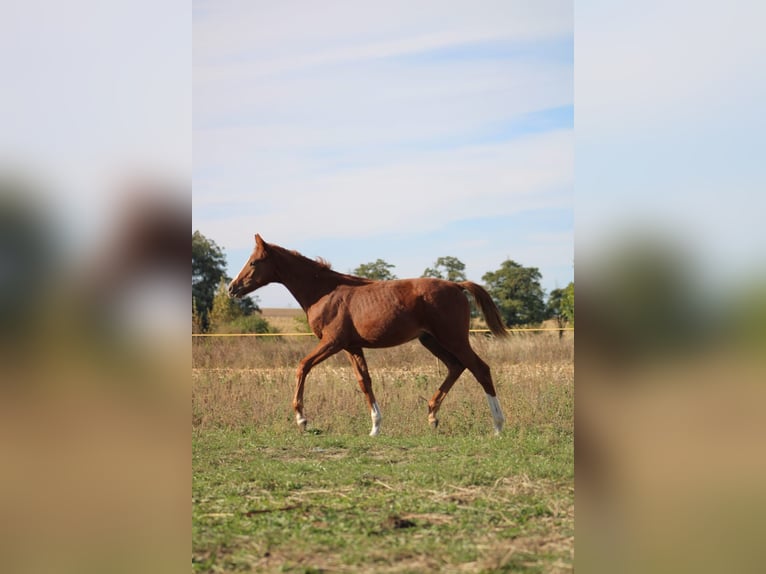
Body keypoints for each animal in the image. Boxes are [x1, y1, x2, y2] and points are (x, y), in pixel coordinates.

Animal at [231, 234, 512, 436]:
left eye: (254, 262)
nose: (232, 288)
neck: (324, 292)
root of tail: (457, 285)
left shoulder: (332, 342)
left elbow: (303, 366)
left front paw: (302, 419)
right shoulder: (352, 347)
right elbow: (364, 381)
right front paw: (375, 427)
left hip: (453, 338)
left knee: (480, 368)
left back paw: (498, 426)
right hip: (431, 340)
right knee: (456, 367)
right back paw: (432, 415)